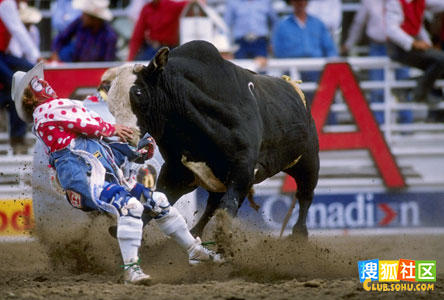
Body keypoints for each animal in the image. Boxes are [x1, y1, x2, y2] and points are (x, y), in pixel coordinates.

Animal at [128, 40, 320, 237]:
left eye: (138, 92)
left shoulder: (243, 170)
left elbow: (227, 208)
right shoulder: (176, 173)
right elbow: (152, 207)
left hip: (308, 161)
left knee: (305, 194)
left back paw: (298, 234)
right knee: (211, 206)